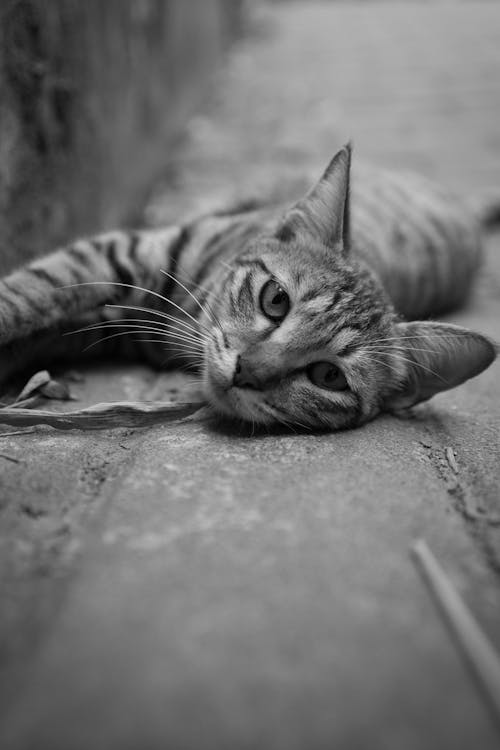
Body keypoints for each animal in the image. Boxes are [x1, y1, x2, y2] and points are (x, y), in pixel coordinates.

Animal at [0, 144, 496, 432]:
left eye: (329, 376)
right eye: (276, 300)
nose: (247, 372)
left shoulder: (110, 325)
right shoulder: (125, 253)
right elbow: (31, 290)